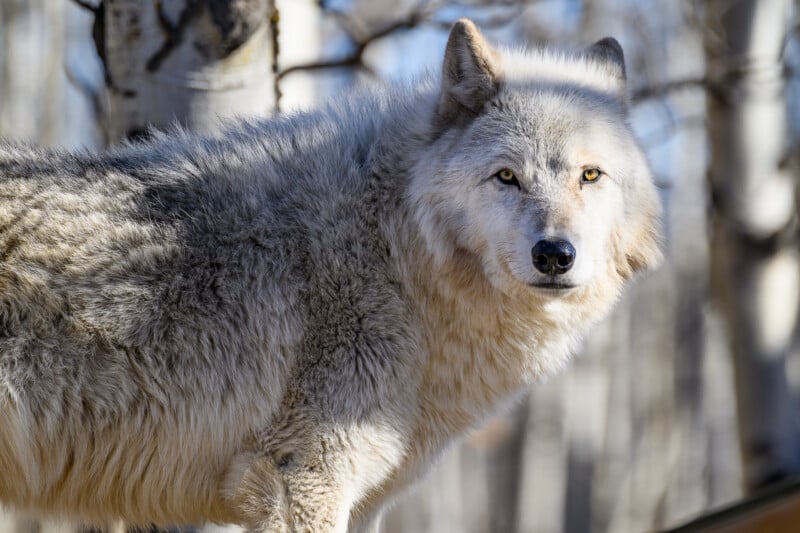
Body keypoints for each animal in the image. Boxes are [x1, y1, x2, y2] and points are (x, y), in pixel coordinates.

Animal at [0, 19, 661, 533]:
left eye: (590, 175)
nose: (555, 254)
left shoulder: (367, 497)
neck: (394, 252)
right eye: (507, 177)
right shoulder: (303, 478)